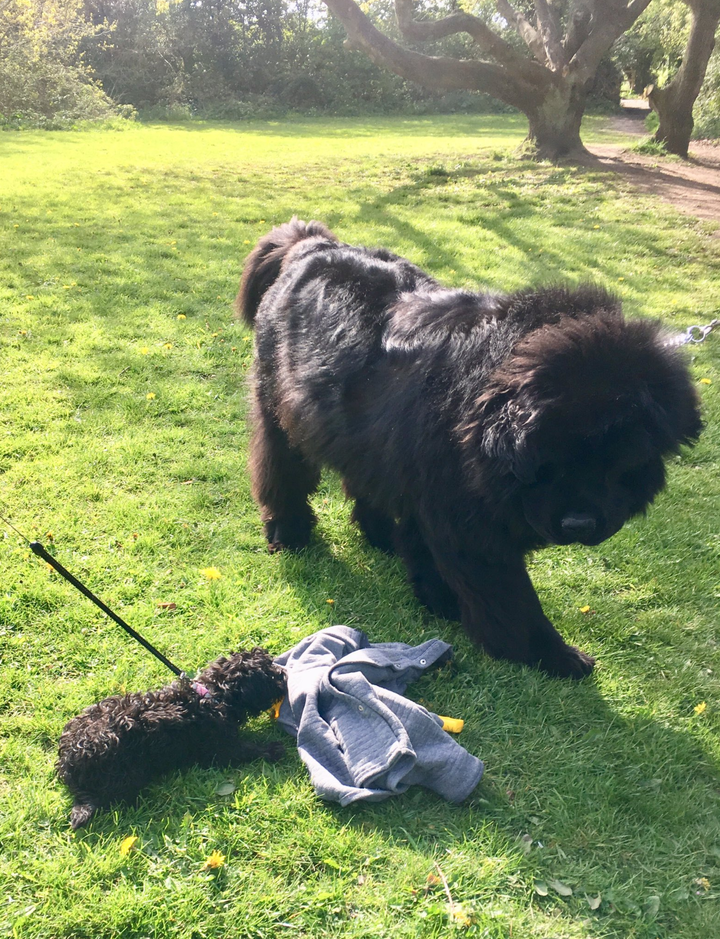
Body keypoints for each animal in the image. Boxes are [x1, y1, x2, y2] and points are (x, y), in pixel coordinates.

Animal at [57, 648, 286, 828]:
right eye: (270, 675)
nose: (283, 674)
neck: (213, 696)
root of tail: (69, 765)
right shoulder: (219, 748)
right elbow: (246, 750)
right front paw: (272, 749)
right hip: (126, 771)